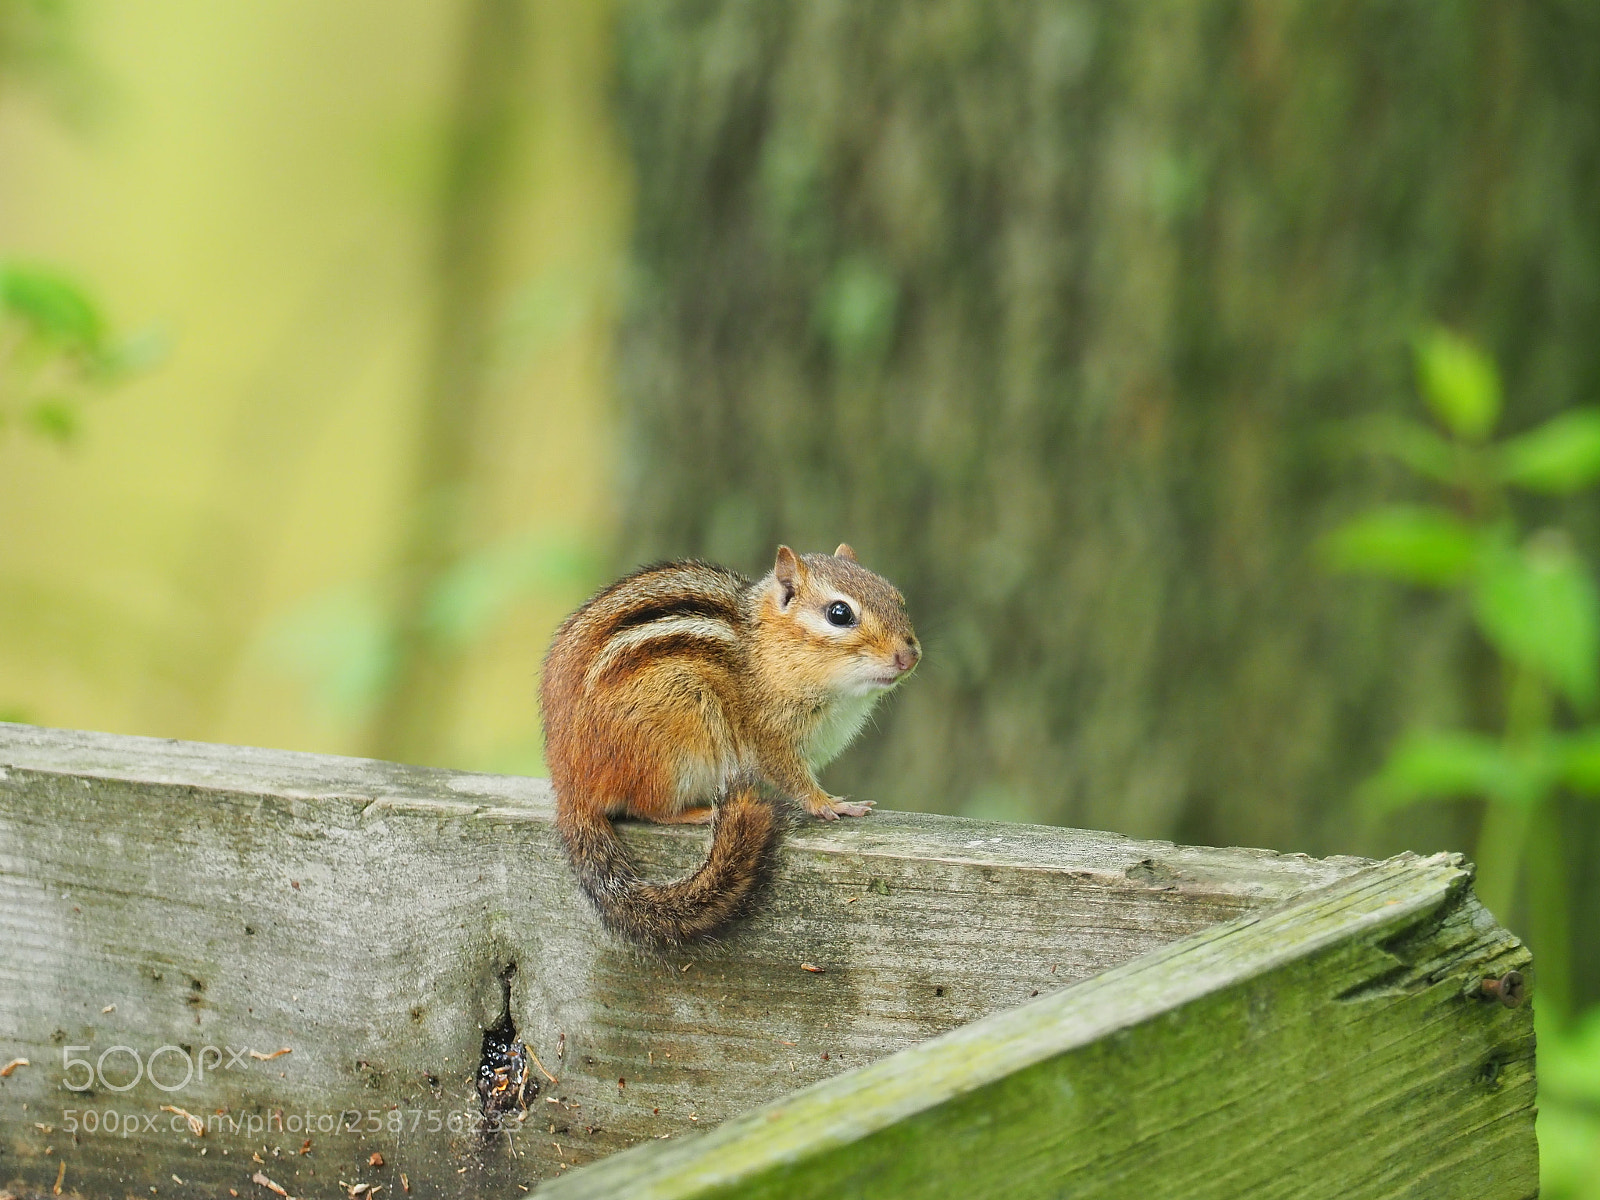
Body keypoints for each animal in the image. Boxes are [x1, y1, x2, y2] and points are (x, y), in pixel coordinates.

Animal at [539, 543, 920, 946]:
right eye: (839, 613)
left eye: (897, 598)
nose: (910, 656)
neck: (766, 649)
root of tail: (569, 786)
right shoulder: (769, 737)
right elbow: (794, 780)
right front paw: (831, 804)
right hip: (678, 734)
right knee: (649, 808)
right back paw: (697, 813)